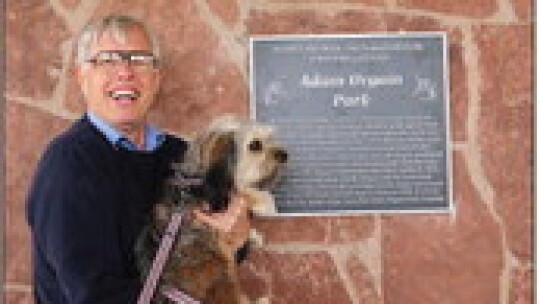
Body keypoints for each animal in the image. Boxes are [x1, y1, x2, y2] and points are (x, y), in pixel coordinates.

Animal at [135, 115, 286, 302]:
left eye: (270, 138)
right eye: (255, 145)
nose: (284, 155)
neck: (198, 179)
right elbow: (243, 190)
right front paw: (265, 203)